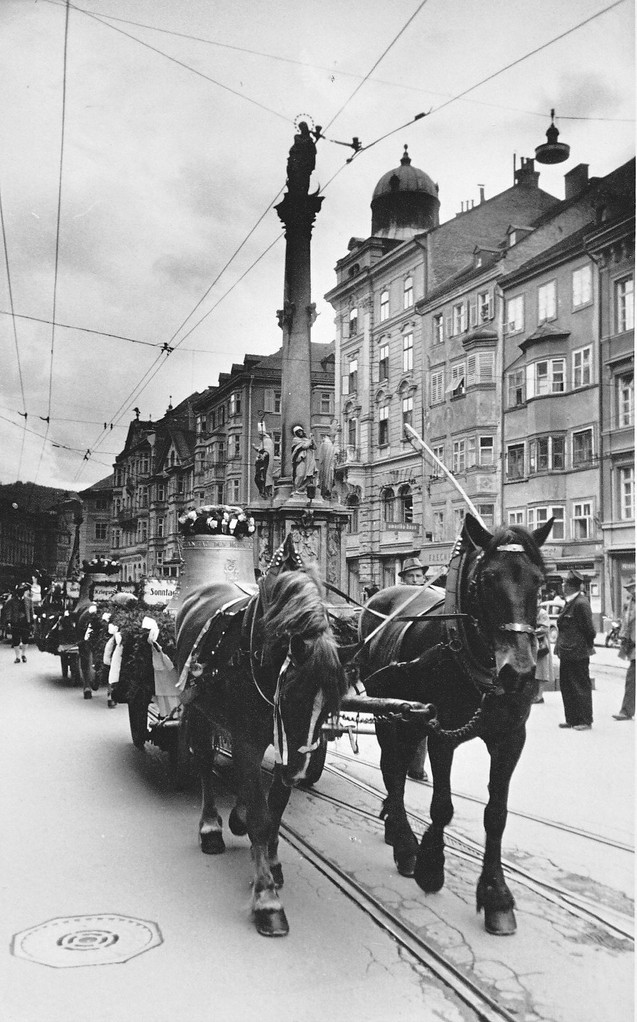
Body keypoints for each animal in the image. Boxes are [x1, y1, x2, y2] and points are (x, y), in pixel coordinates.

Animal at [175, 539, 349, 936]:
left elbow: (274, 809)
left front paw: (271, 860)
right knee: (204, 763)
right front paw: (267, 900)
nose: (302, 773)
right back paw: (211, 827)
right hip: (200, 711)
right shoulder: (250, 740)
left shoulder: (283, 748)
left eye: (330, 706)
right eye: (293, 696)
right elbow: (260, 815)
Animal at [359, 515, 552, 936]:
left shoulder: (510, 738)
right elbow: (442, 806)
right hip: (389, 714)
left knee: (397, 769)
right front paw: (430, 867)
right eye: (488, 578)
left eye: (539, 580)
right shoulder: (440, 731)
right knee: (392, 770)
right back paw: (404, 844)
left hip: (406, 717)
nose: (520, 671)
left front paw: (496, 896)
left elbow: (496, 814)